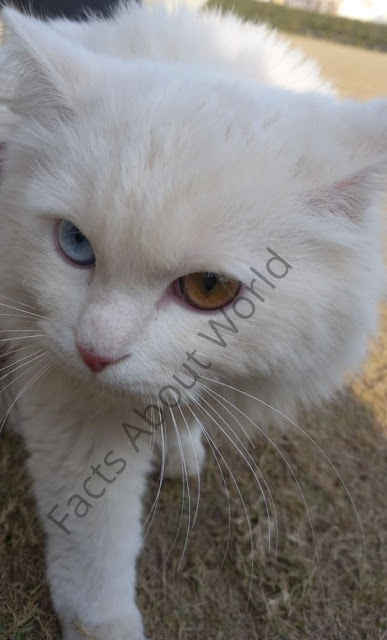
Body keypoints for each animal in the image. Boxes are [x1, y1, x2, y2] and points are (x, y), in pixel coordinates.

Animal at [0, 2, 386, 636]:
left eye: (209, 289)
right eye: (75, 243)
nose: (94, 352)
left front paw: (179, 439)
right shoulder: (77, 401)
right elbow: (95, 536)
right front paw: (103, 623)